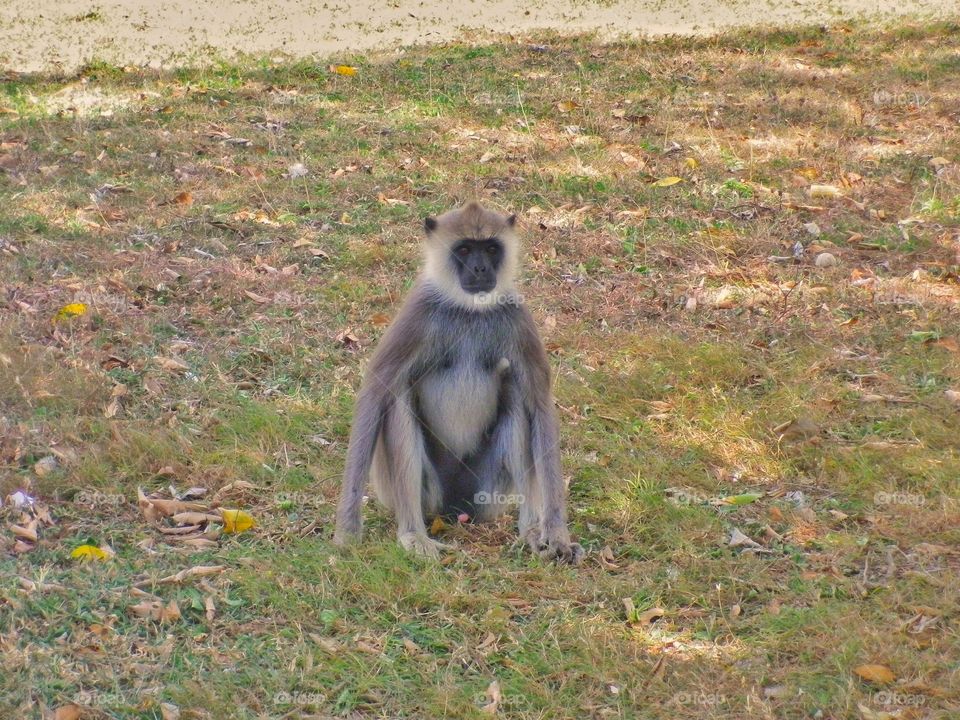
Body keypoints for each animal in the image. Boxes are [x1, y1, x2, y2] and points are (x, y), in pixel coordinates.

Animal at [333, 201, 582, 564]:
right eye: (464, 249)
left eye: (490, 249)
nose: (480, 268)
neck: (469, 311)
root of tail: (453, 510)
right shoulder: (418, 313)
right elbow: (374, 395)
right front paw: (347, 531)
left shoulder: (517, 317)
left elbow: (538, 405)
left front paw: (557, 534)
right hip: (422, 493)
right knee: (399, 396)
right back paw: (413, 534)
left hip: (487, 492)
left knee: (516, 394)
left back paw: (530, 532)